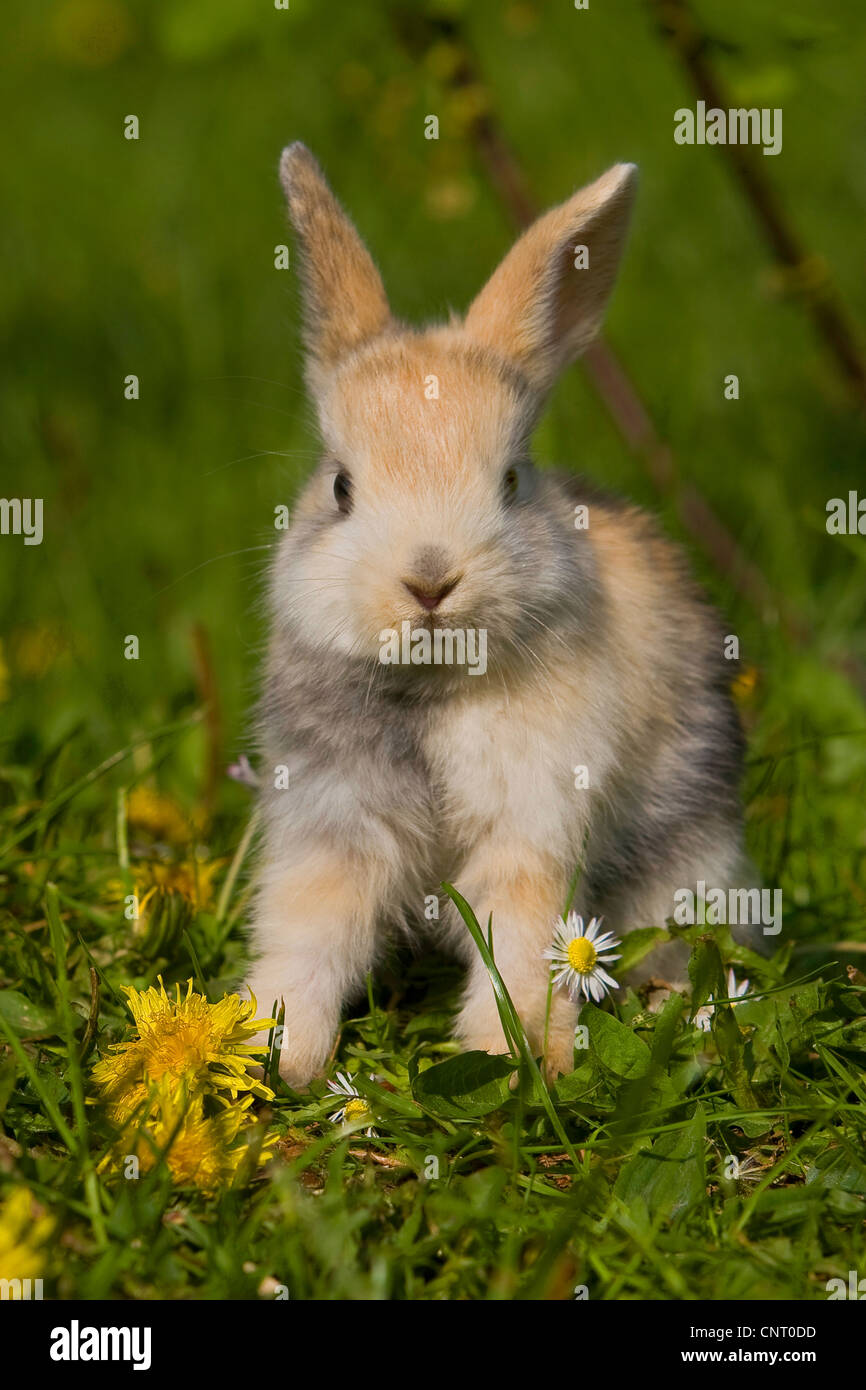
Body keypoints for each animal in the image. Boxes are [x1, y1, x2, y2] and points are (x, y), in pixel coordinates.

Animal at [244, 146, 756, 1089]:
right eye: (340, 487)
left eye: (512, 482)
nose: (430, 580)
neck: (434, 685)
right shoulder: (334, 820)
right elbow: (311, 926)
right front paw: (275, 1048)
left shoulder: (534, 824)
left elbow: (523, 943)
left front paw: (512, 1060)